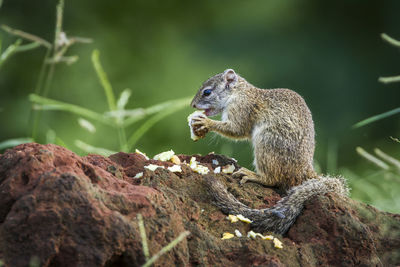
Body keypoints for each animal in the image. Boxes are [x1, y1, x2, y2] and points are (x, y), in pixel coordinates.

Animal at [189, 68, 348, 234]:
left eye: (207, 92)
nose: (192, 105)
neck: (239, 92)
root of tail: (303, 171)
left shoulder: (241, 109)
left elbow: (236, 129)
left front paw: (206, 122)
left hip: (266, 144)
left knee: (272, 179)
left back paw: (252, 175)